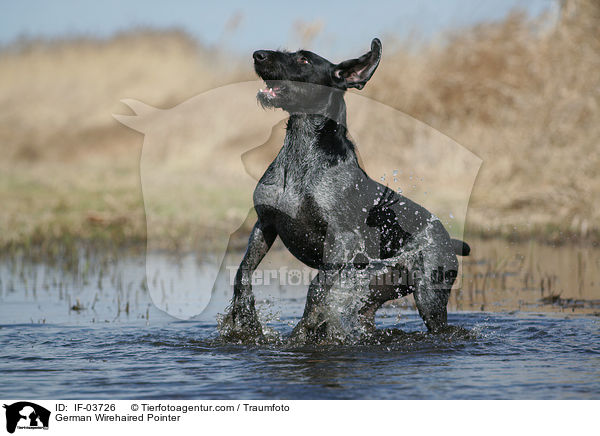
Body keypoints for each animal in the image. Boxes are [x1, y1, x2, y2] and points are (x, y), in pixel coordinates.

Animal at [223, 38, 472, 344]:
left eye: (304, 60)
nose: (258, 55)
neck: (300, 153)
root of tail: (449, 239)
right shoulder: (265, 224)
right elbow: (243, 272)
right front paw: (246, 318)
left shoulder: (341, 241)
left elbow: (316, 290)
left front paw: (302, 333)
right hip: (372, 294)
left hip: (430, 297)